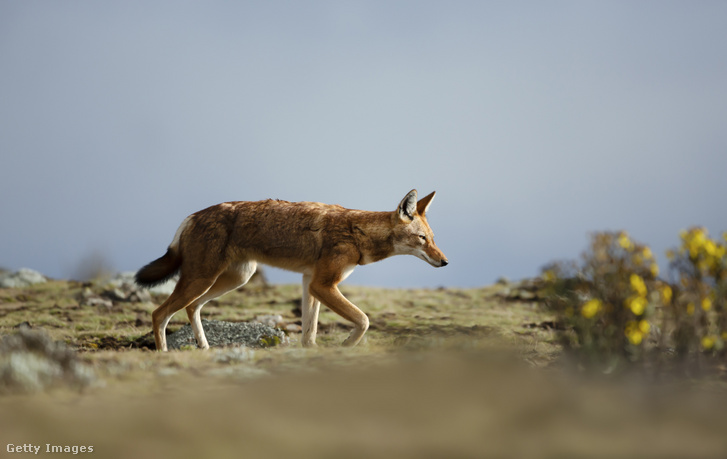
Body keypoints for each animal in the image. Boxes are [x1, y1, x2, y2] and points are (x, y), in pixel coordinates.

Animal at [134, 190, 446, 352]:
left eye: (432, 239)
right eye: (422, 239)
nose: (445, 262)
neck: (358, 232)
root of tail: (192, 216)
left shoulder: (310, 282)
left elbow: (309, 333)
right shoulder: (322, 284)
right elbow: (364, 320)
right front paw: (346, 345)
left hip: (233, 279)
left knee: (191, 308)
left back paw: (205, 349)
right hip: (204, 279)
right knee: (159, 313)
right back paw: (165, 354)